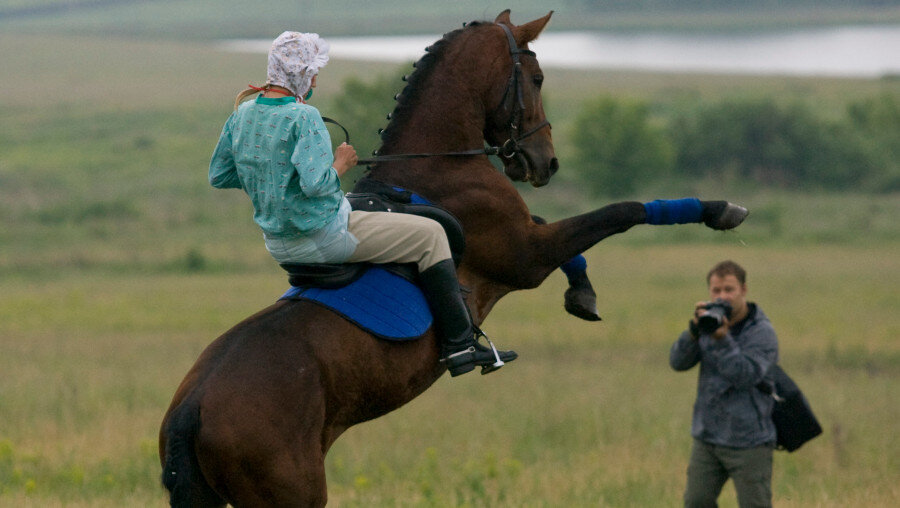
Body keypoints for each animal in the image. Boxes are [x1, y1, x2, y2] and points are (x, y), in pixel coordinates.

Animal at [160, 9, 744, 506]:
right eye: (537, 79)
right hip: (292, 492)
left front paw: (583, 292)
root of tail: (192, 406)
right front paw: (717, 209)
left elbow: (573, 232)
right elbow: (620, 212)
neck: (442, 163)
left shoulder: (527, 240)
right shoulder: (526, 257)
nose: (546, 162)